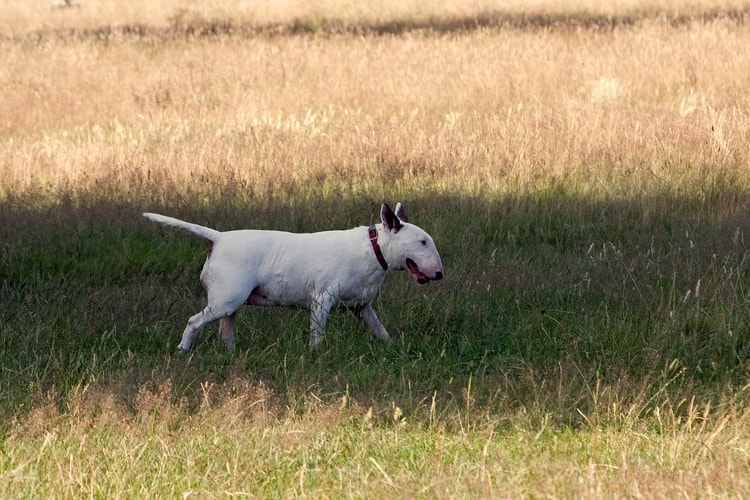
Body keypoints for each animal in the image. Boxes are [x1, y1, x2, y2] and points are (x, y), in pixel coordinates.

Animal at [144, 203, 444, 352]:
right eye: (422, 242)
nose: (439, 274)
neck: (374, 248)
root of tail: (218, 238)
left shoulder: (362, 306)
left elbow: (380, 330)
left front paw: (394, 349)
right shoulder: (322, 298)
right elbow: (317, 333)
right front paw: (316, 354)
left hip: (231, 303)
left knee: (225, 330)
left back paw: (232, 354)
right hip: (225, 300)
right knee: (194, 321)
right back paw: (182, 350)